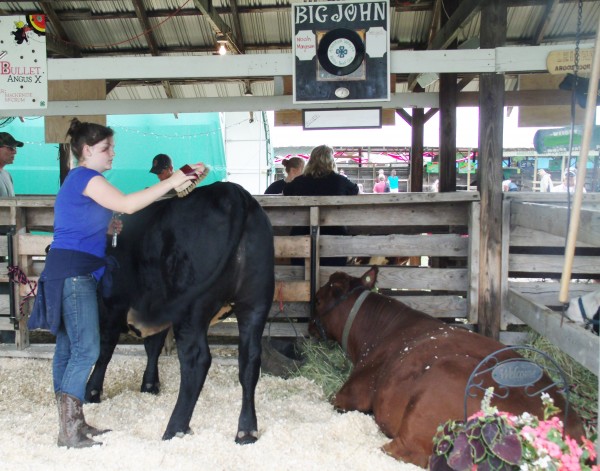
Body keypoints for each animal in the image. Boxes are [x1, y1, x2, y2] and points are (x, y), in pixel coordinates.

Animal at [84, 183, 274, 444]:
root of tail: (233, 192)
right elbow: (153, 345)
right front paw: (150, 385)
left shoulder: (112, 306)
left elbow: (104, 350)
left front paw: (92, 391)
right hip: (255, 302)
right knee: (249, 359)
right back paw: (246, 430)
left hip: (193, 308)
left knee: (196, 360)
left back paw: (175, 428)